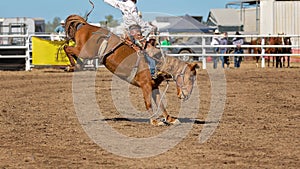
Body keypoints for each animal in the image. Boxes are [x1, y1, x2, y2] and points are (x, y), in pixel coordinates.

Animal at [63, 14, 199, 125]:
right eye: (190, 78)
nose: (187, 96)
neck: (157, 63)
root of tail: (86, 25)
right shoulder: (146, 86)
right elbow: (148, 103)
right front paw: (155, 121)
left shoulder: (154, 87)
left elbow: (161, 104)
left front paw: (170, 119)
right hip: (85, 51)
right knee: (66, 48)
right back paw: (71, 66)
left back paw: (74, 66)